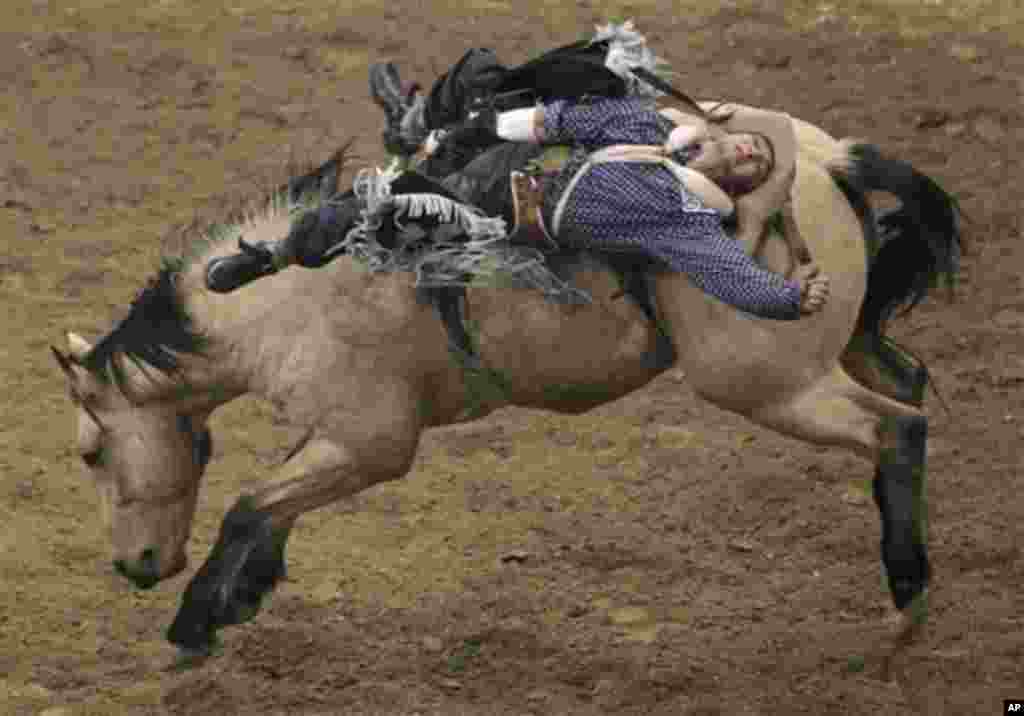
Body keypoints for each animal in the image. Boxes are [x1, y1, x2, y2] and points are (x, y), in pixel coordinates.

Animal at [49, 113, 958, 667]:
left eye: (91, 452)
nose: (134, 568)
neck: (287, 304)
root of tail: (831, 160)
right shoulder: (341, 437)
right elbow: (273, 504)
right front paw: (240, 596)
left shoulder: (370, 442)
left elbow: (249, 503)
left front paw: (195, 621)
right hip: (841, 350)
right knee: (909, 391)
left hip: (771, 382)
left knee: (897, 430)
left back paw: (908, 598)